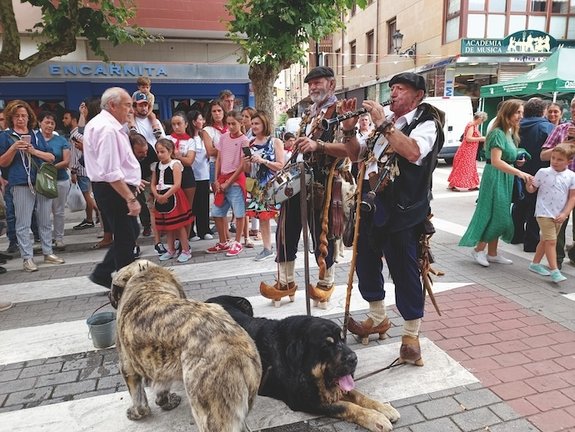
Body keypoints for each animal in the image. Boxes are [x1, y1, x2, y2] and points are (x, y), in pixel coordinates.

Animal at [111, 260, 264, 432]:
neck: (148, 281)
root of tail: (237, 350)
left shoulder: (127, 367)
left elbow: (140, 401)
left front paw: (136, 413)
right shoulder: (161, 368)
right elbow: (162, 388)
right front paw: (166, 402)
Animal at [207, 296, 400, 430]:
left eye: (342, 339)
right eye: (327, 345)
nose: (354, 359)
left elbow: (358, 395)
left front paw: (383, 408)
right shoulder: (304, 399)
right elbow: (346, 406)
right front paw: (376, 419)